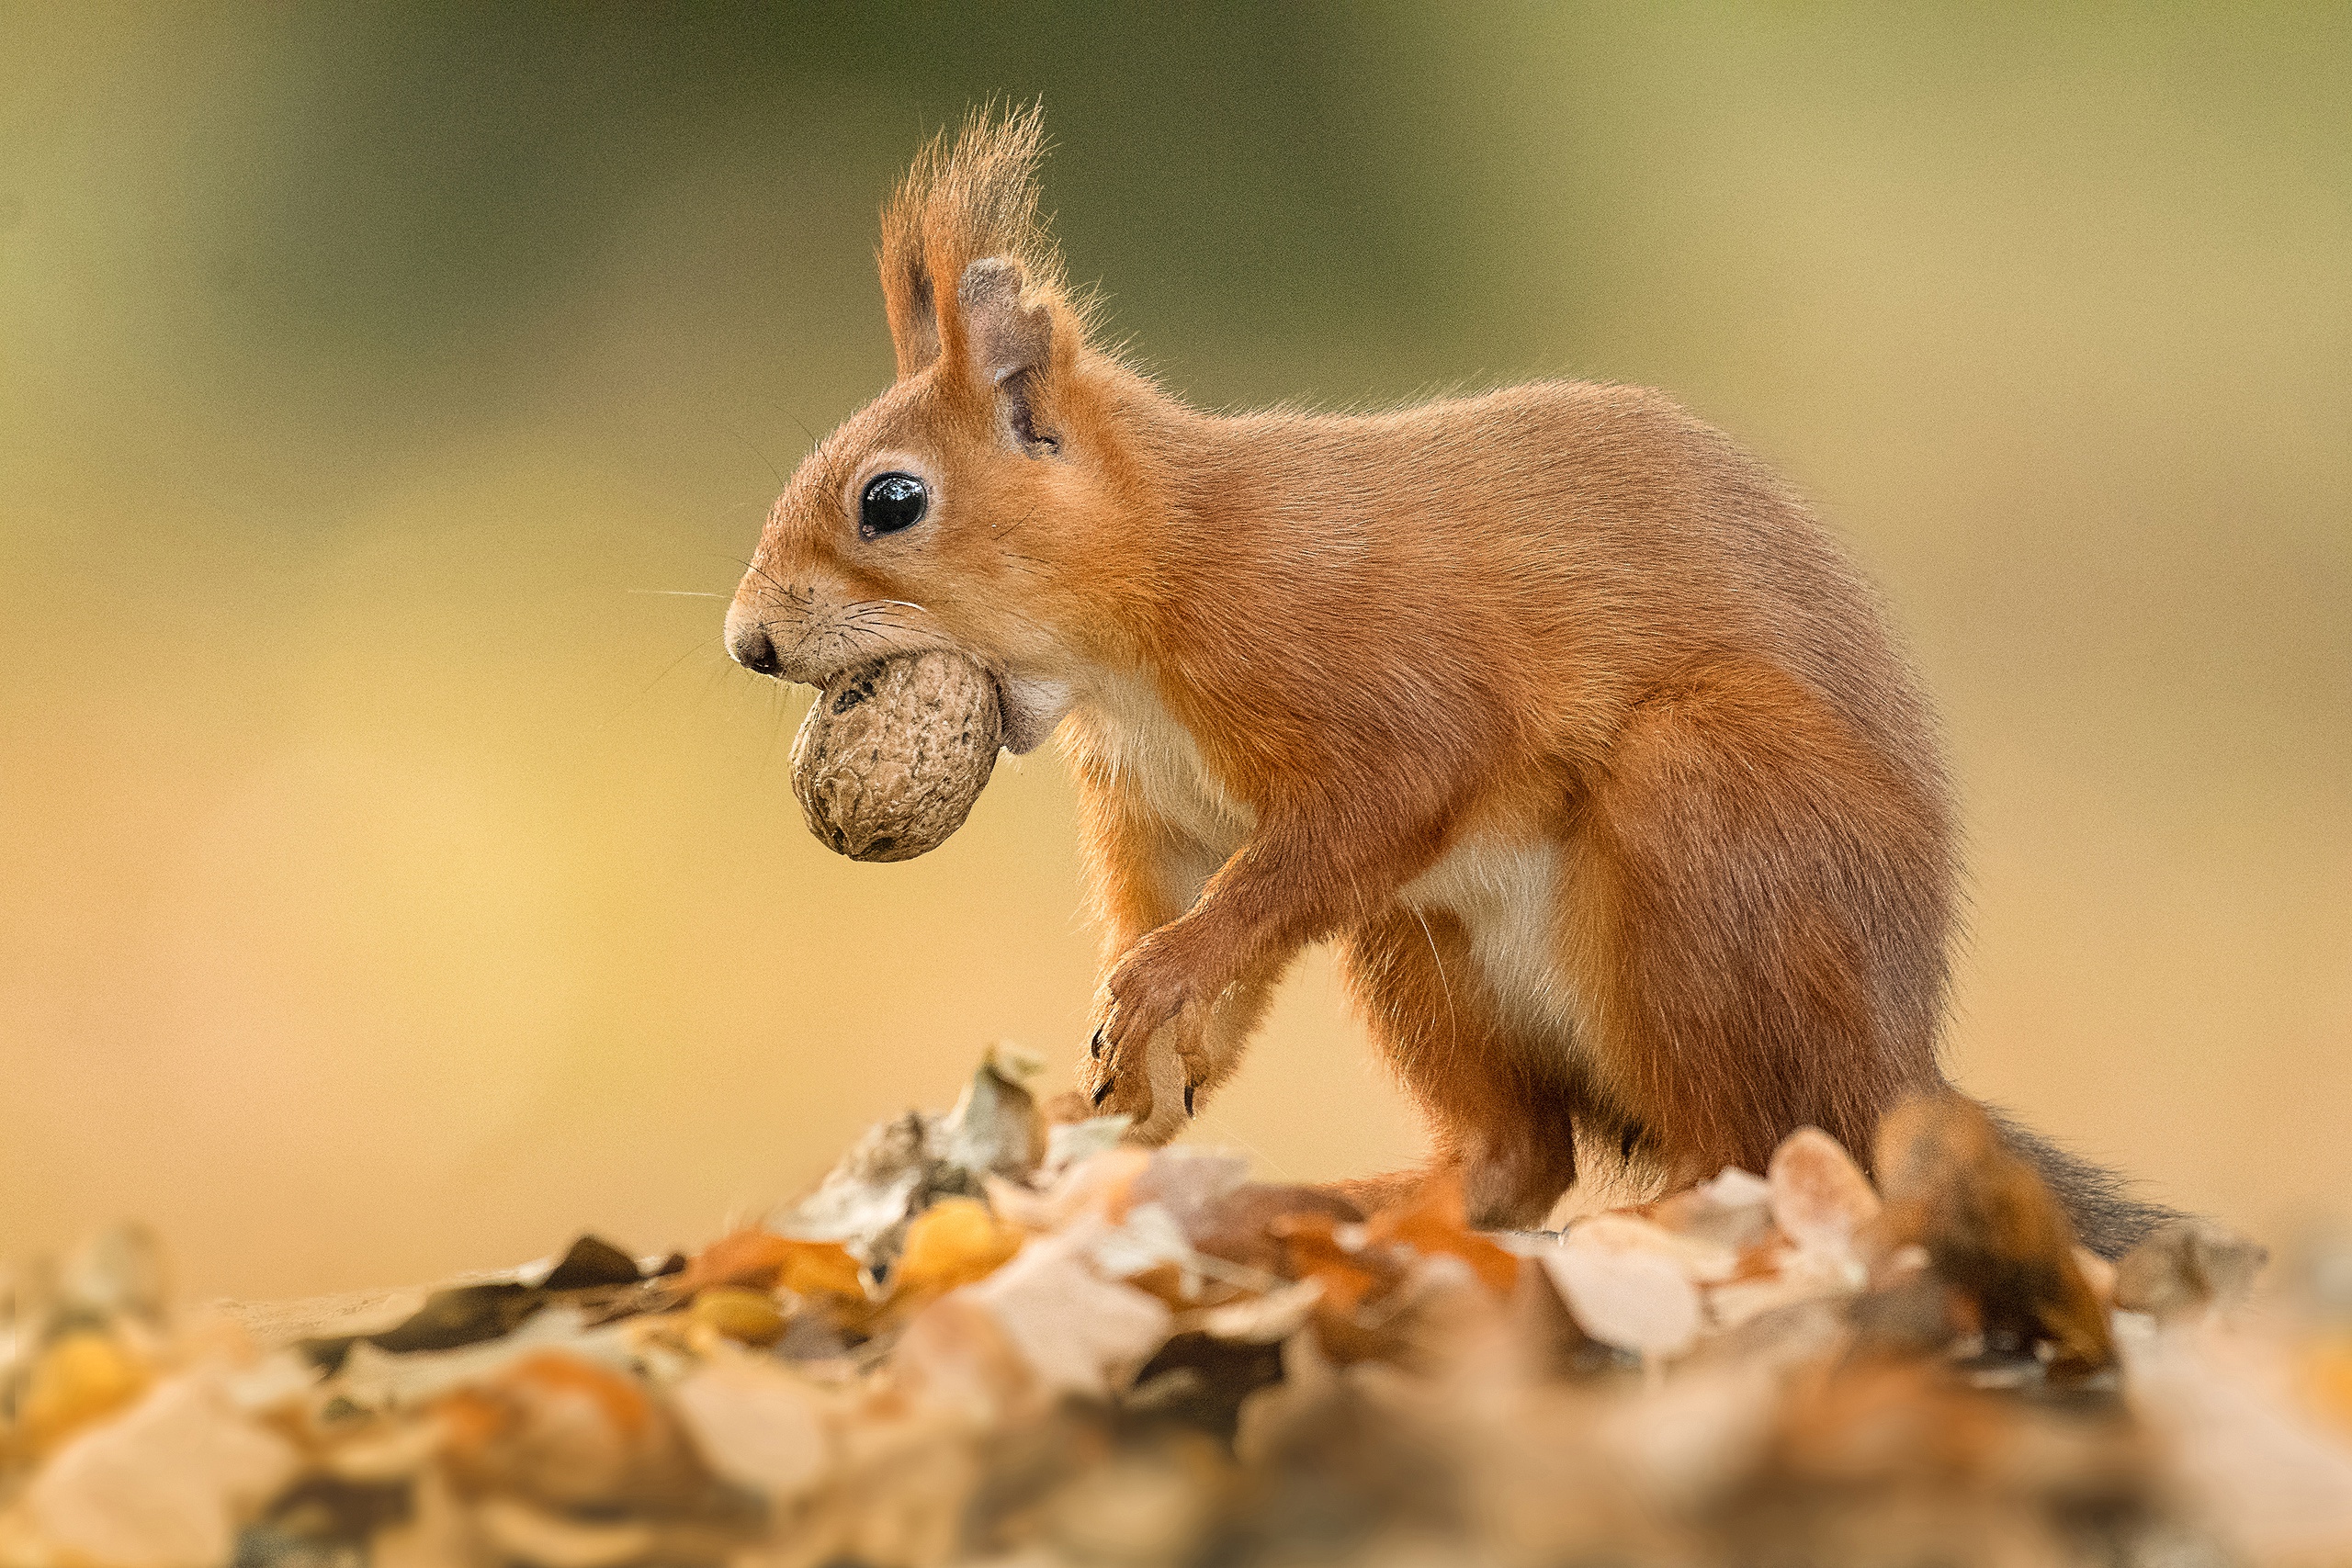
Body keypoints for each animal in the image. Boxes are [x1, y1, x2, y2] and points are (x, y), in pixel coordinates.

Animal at [719, 110, 2164, 1259]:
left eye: (891, 500)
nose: (748, 643)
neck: (1153, 600)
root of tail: (1897, 1064)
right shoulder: (1164, 808)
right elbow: (1191, 909)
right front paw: (1138, 1063)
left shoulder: (1359, 665)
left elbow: (1364, 814)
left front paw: (1163, 984)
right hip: (1426, 947)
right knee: (1521, 1158)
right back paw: (1335, 1206)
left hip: (1709, 829)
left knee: (1761, 1155)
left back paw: (1656, 1216)